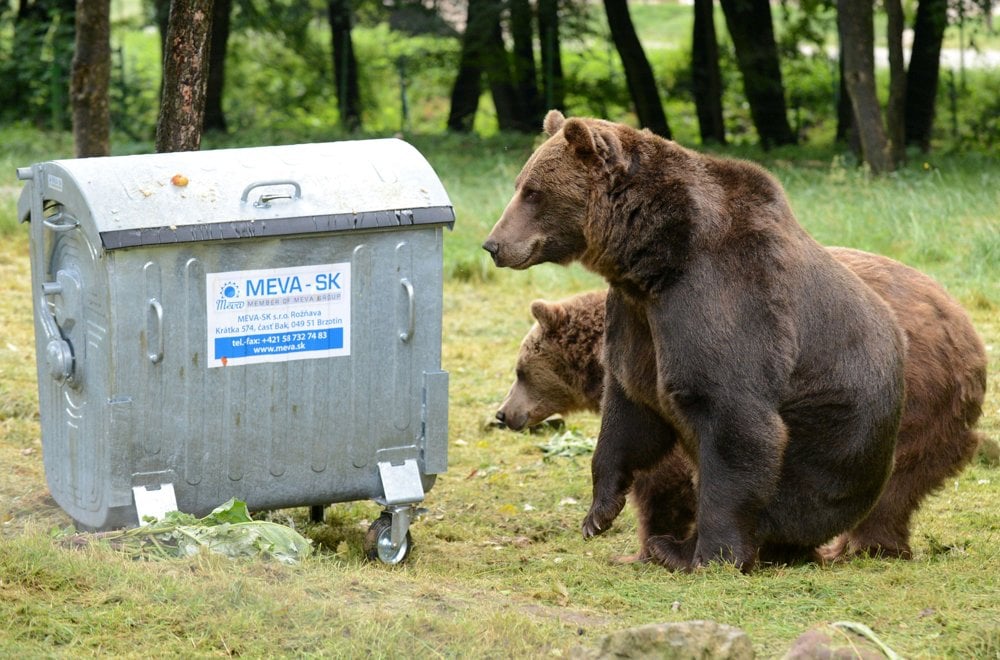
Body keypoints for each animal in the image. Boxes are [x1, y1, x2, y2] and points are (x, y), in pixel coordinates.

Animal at [480, 111, 912, 568]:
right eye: (520, 185)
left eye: (532, 192)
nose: (493, 244)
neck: (654, 259)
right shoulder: (637, 318)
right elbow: (631, 406)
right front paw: (599, 513)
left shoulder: (723, 296)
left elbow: (733, 416)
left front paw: (712, 553)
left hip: (831, 442)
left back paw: (676, 547)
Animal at [496, 248, 988, 564]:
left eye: (520, 370)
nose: (503, 413)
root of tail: (969, 337)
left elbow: (670, 475)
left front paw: (645, 546)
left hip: (903, 407)